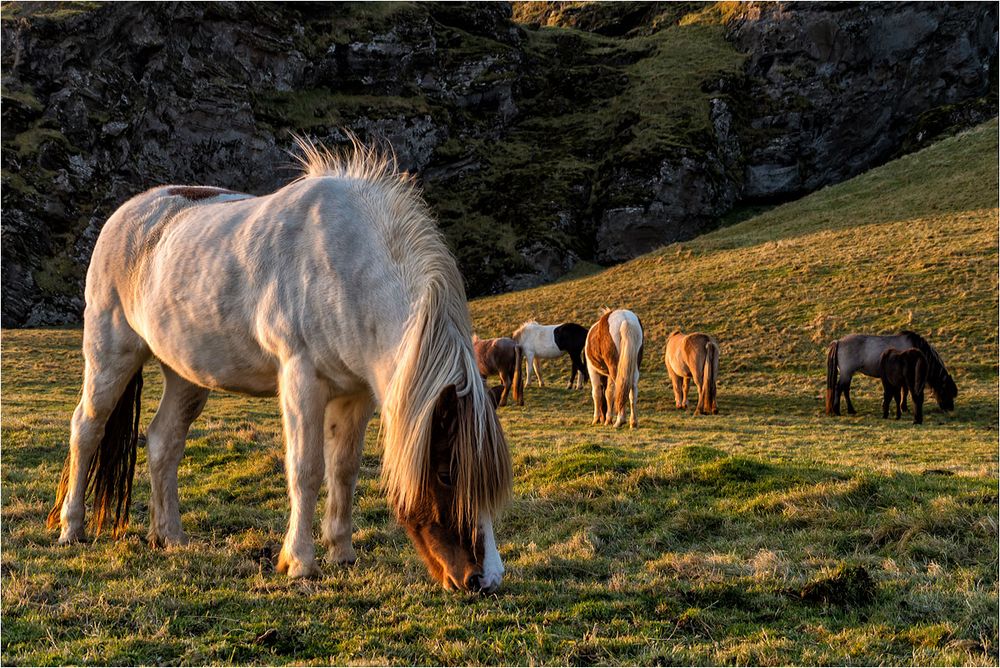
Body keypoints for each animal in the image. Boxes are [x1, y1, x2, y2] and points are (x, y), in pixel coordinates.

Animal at [45, 138, 516, 592]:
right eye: (446, 473)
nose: (485, 580)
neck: (347, 267)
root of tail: (129, 213)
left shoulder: (356, 393)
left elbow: (343, 469)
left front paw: (341, 552)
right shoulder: (301, 379)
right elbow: (306, 469)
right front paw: (300, 562)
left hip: (185, 375)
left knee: (164, 441)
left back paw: (170, 536)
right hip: (110, 355)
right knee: (86, 429)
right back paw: (72, 529)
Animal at [824, 330, 956, 418]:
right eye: (946, 391)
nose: (950, 408)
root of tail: (839, 342)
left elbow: (903, 390)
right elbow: (905, 391)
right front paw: (904, 407)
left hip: (848, 373)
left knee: (845, 390)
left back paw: (851, 410)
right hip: (846, 373)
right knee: (839, 388)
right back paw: (837, 410)